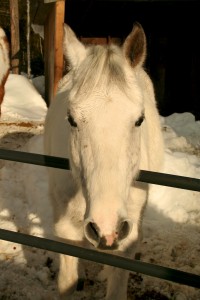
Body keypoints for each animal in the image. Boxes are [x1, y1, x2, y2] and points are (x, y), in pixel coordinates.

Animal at [43, 22, 164, 298]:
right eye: (72, 120)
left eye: (139, 120)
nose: (107, 228)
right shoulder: (65, 231)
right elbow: (67, 281)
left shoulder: (127, 240)